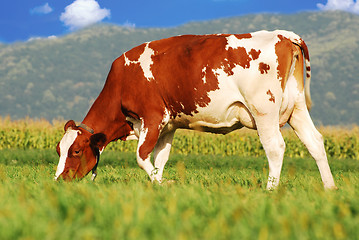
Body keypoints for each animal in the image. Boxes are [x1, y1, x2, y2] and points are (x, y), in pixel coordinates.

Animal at [54, 30, 338, 190]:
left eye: (76, 151)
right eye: (58, 149)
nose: (58, 181)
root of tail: (284, 34)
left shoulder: (153, 117)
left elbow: (141, 157)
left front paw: (162, 183)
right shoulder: (168, 125)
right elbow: (160, 158)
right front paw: (159, 184)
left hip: (263, 110)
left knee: (275, 147)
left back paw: (270, 190)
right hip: (296, 108)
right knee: (315, 141)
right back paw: (330, 188)